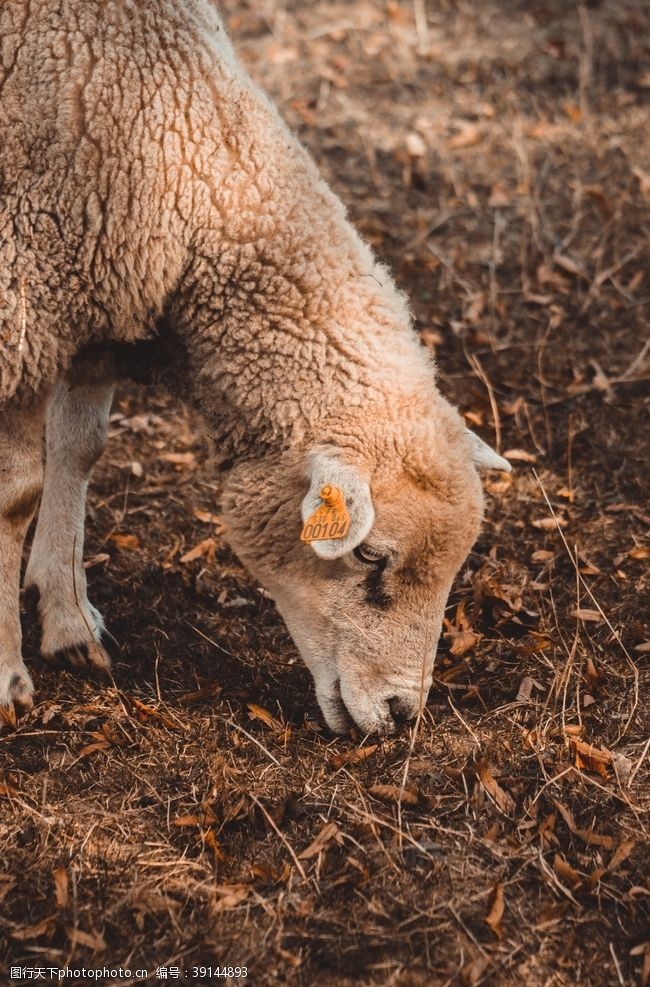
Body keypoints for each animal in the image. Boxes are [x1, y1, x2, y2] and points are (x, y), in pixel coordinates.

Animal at [0, 0, 506, 732]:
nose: (400, 712)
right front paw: (8, 676)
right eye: (369, 554)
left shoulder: (97, 305)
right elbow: (16, 495)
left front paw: (68, 621)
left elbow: (78, 451)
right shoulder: (21, 309)